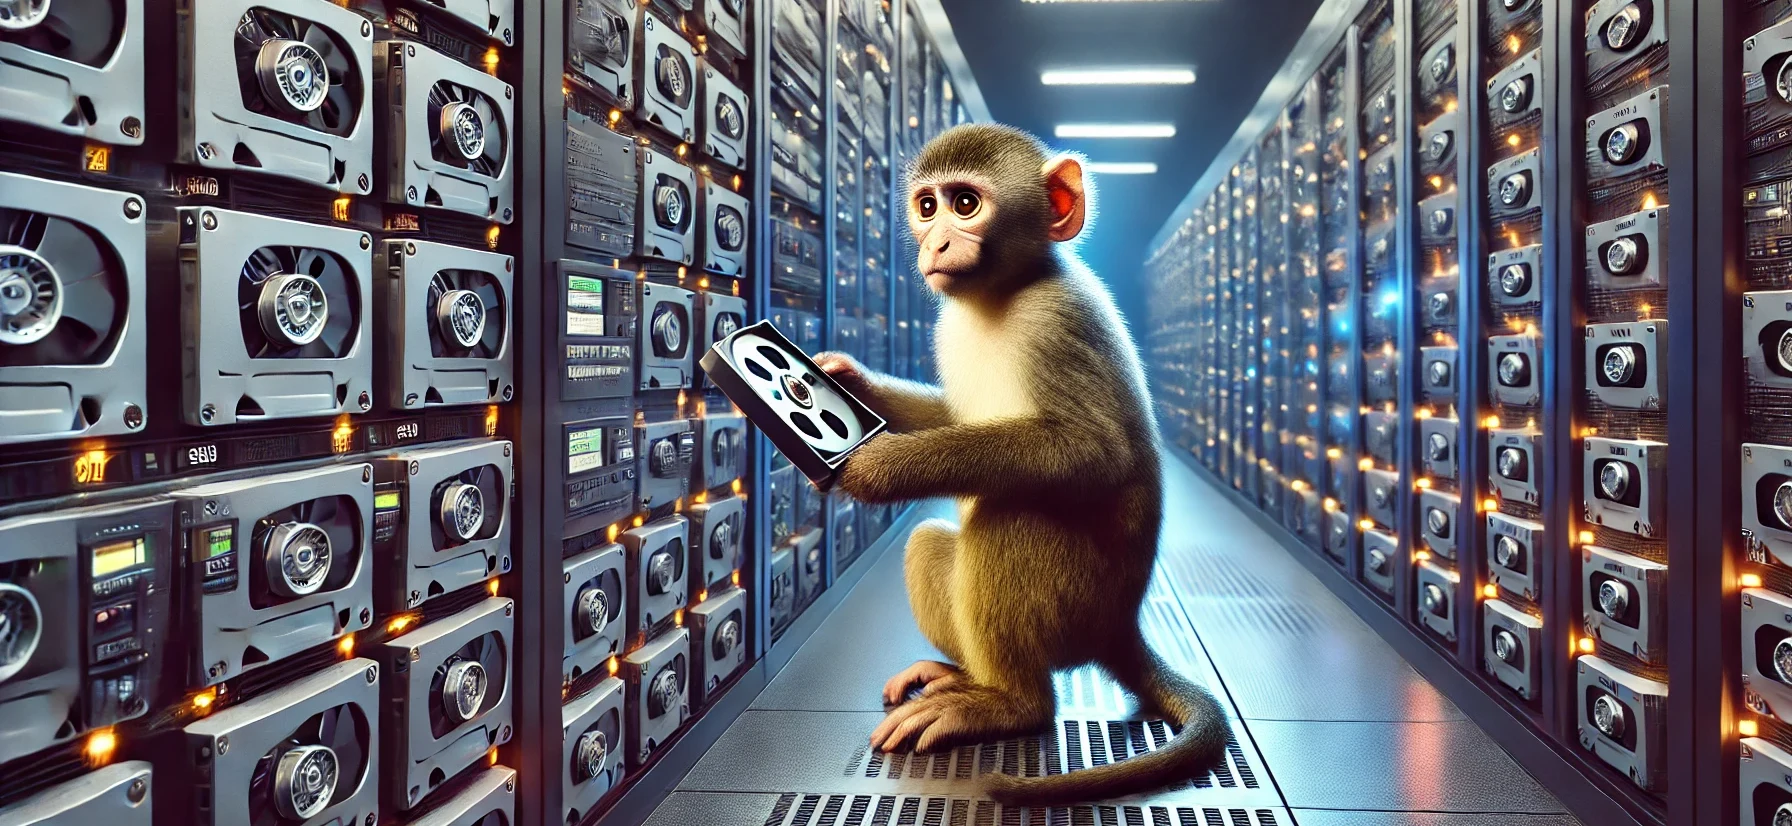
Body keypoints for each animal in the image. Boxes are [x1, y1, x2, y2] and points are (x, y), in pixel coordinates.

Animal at [813, 123, 1231, 806]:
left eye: (964, 205)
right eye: (925, 207)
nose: (937, 241)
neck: (998, 296)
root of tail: (1121, 627)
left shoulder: (1056, 323)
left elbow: (1091, 451)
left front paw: (879, 466)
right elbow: (950, 418)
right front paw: (847, 383)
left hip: (1078, 604)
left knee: (1006, 520)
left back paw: (1009, 705)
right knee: (930, 543)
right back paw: (960, 674)